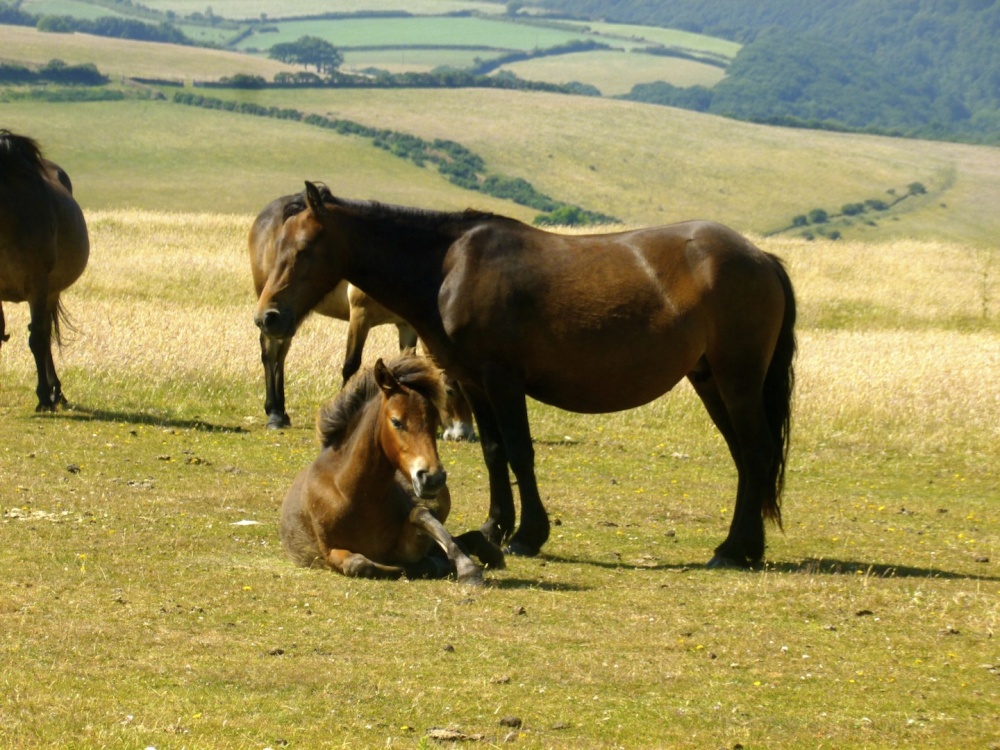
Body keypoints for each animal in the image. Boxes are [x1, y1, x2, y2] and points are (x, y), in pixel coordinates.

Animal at [0, 130, 89, 411]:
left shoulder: (37, 284)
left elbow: (38, 339)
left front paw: (43, 396)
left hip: (51, 291)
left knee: (45, 334)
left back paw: (55, 392)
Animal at [250, 189, 476, 441]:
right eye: (450, 390)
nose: (464, 433)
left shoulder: (406, 326)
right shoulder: (360, 315)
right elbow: (351, 365)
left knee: (281, 353)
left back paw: (282, 412)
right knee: (270, 352)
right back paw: (274, 414)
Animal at [279, 350, 504, 583]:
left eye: (435, 423)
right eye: (396, 421)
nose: (432, 478)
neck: (352, 495)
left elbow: (422, 517)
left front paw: (464, 567)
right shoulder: (329, 551)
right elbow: (361, 564)